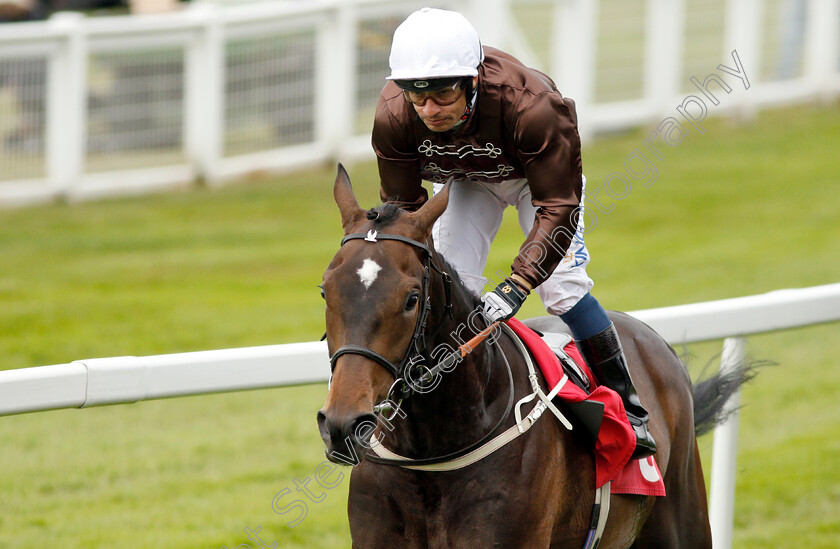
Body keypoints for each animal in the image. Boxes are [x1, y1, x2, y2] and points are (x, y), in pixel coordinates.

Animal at [316, 165, 748, 544]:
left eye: (411, 299)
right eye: (325, 290)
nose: (342, 424)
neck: (432, 454)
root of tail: (648, 334)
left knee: (569, 291)